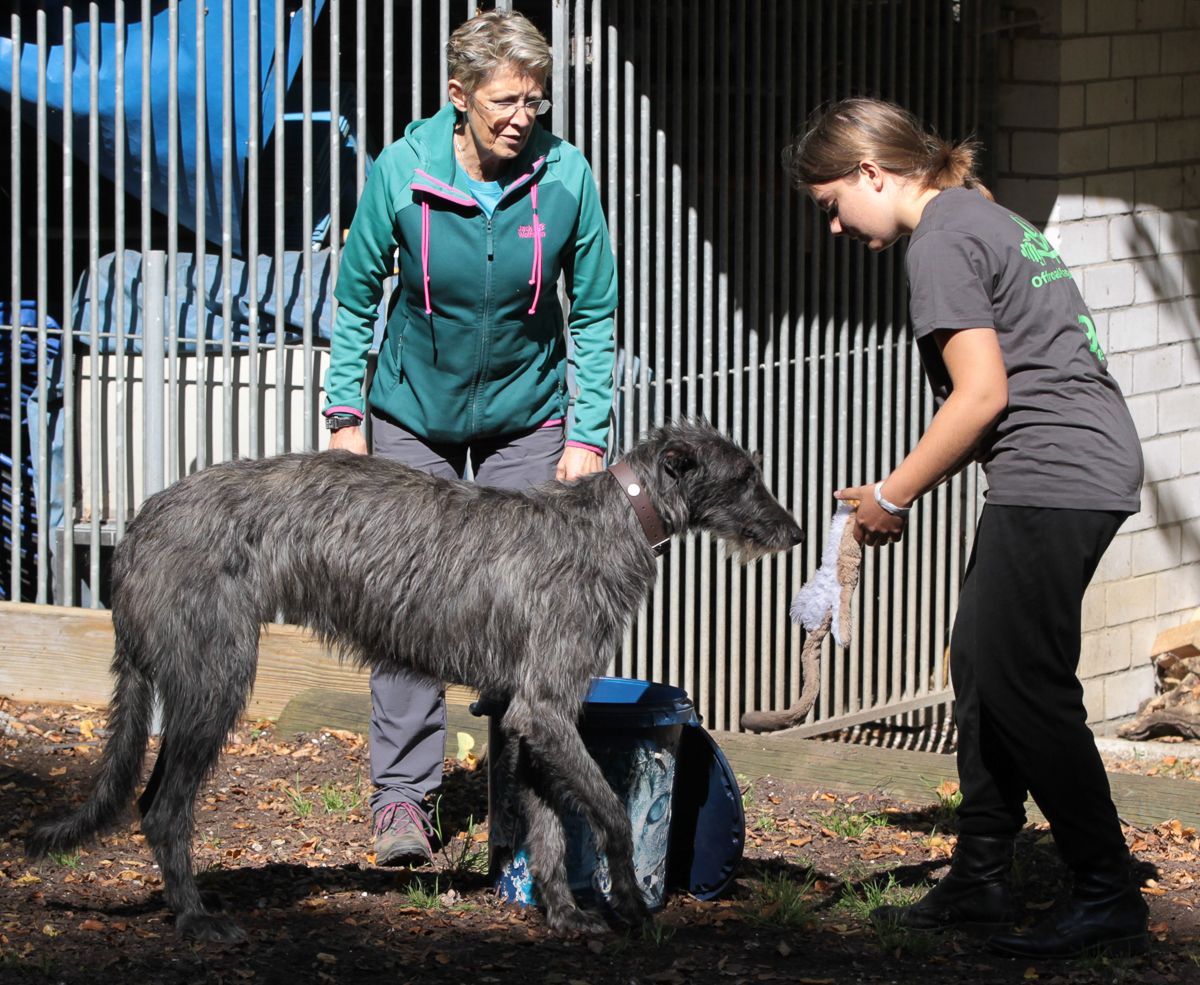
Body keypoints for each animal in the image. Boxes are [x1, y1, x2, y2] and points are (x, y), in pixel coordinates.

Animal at [23, 415, 801, 935]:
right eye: (747, 476)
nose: (794, 533)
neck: (610, 521)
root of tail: (140, 523)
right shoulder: (549, 705)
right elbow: (608, 809)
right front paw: (632, 906)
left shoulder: (532, 715)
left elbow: (551, 826)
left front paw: (563, 913)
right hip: (214, 681)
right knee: (163, 809)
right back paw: (194, 918)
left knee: (151, 799)